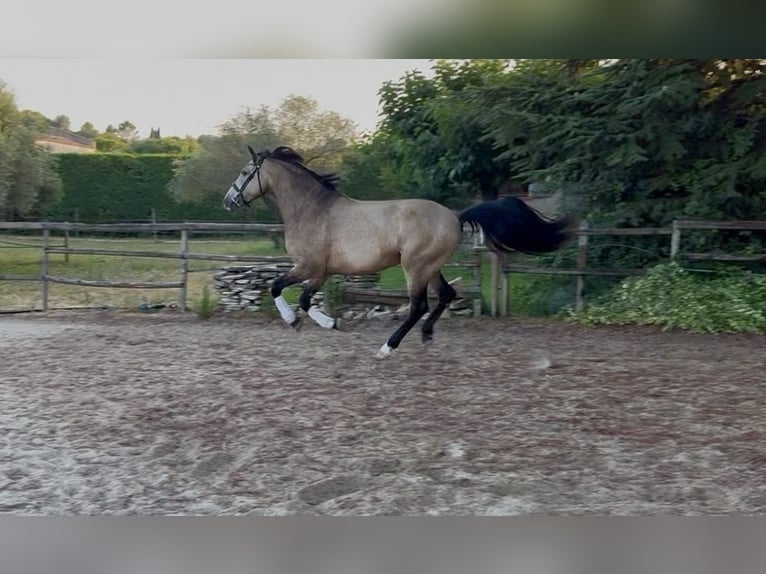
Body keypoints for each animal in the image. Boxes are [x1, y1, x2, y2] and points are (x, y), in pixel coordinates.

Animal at [223, 145, 575, 359]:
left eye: (244, 172)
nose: (228, 201)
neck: (313, 210)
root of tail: (455, 216)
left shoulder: (309, 267)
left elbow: (279, 288)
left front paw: (301, 322)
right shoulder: (322, 272)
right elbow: (305, 299)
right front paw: (326, 323)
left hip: (414, 268)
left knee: (418, 305)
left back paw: (387, 347)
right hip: (430, 267)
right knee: (446, 295)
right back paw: (427, 335)